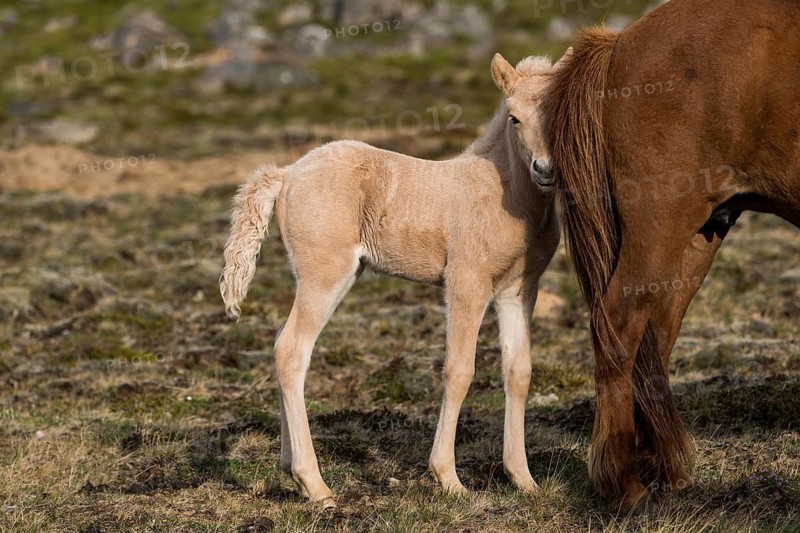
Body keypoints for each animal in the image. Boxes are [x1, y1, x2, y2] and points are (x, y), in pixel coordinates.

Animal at [220, 51, 571, 507]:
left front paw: (523, 479)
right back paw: (315, 485)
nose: (545, 169)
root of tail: (286, 173)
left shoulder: (518, 290)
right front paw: (448, 479)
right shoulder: (466, 284)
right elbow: (459, 370)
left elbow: (519, 372)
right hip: (325, 274)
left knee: (283, 344)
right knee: (291, 350)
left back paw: (289, 469)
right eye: (514, 118)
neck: (504, 191)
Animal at [542, 0, 800, 513]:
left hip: (699, 234)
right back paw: (625, 485)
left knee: (654, 335)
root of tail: (620, 44)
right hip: (661, 223)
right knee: (619, 324)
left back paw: (661, 470)